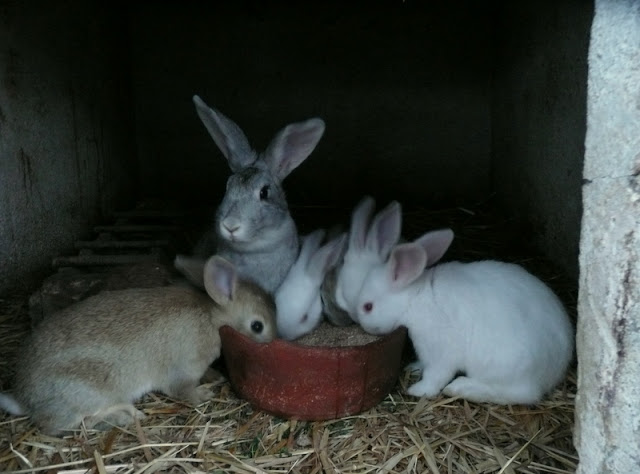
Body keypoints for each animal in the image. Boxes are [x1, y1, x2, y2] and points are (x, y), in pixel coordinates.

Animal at [0, 256, 276, 436]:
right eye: (257, 326)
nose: (273, 341)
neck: (212, 316)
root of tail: (25, 399)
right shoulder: (183, 371)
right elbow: (183, 391)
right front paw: (204, 394)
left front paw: (215, 377)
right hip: (87, 394)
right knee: (74, 424)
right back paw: (126, 416)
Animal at [352, 228, 575, 405]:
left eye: (368, 307)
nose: (360, 323)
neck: (415, 296)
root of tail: (556, 370)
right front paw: (413, 368)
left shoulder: (440, 349)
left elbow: (436, 374)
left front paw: (418, 390)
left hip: (504, 367)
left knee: (520, 395)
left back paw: (460, 388)